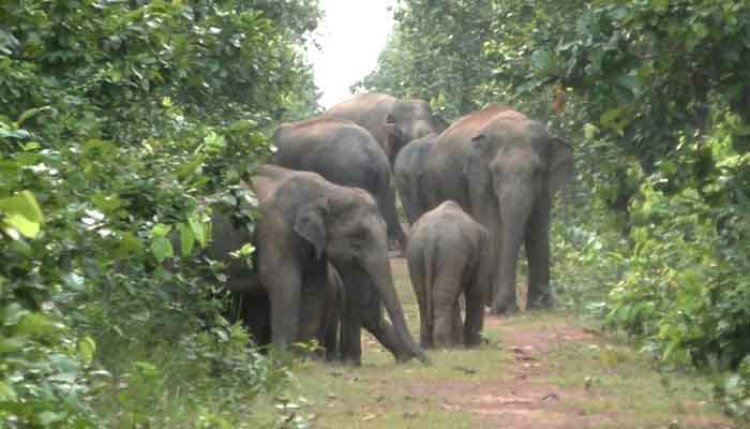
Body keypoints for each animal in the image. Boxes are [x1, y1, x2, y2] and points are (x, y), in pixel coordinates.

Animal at [253, 164, 428, 364]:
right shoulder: (275, 230)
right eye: (358, 237)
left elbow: (315, 288)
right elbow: (282, 282)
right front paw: (283, 360)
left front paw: (305, 359)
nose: (428, 360)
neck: (328, 190)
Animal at [406, 201, 494, 348]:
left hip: (415, 252)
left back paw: (428, 345)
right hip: (451, 252)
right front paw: (474, 345)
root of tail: (430, 236)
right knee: (442, 298)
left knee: (423, 298)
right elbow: (476, 289)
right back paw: (445, 346)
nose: (487, 341)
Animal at [424, 106, 576, 314]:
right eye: (496, 171)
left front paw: (541, 306)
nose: (503, 308)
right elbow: (494, 226)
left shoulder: (545, 185)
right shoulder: (479, 178)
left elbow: (538, 228)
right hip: (436, 186)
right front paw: (500, 306)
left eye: (536, 171)